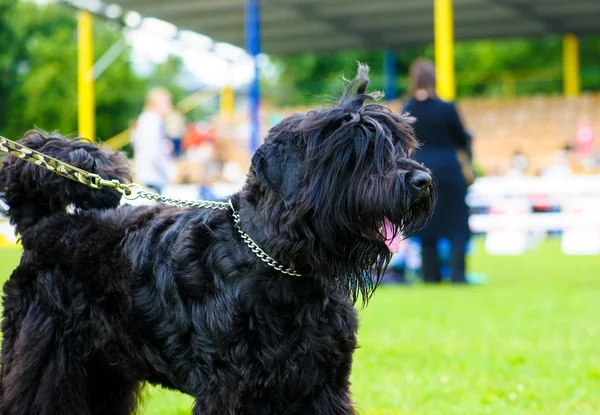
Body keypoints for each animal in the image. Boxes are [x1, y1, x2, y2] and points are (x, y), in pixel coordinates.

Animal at [0, 66, 432, 415]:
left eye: (399, 144)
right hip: (47, 360)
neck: (281, 267)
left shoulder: (321, 385)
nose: (422, 180)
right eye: (353, 149)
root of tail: (44, 226)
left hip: (104, 371)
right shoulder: (233, 389)